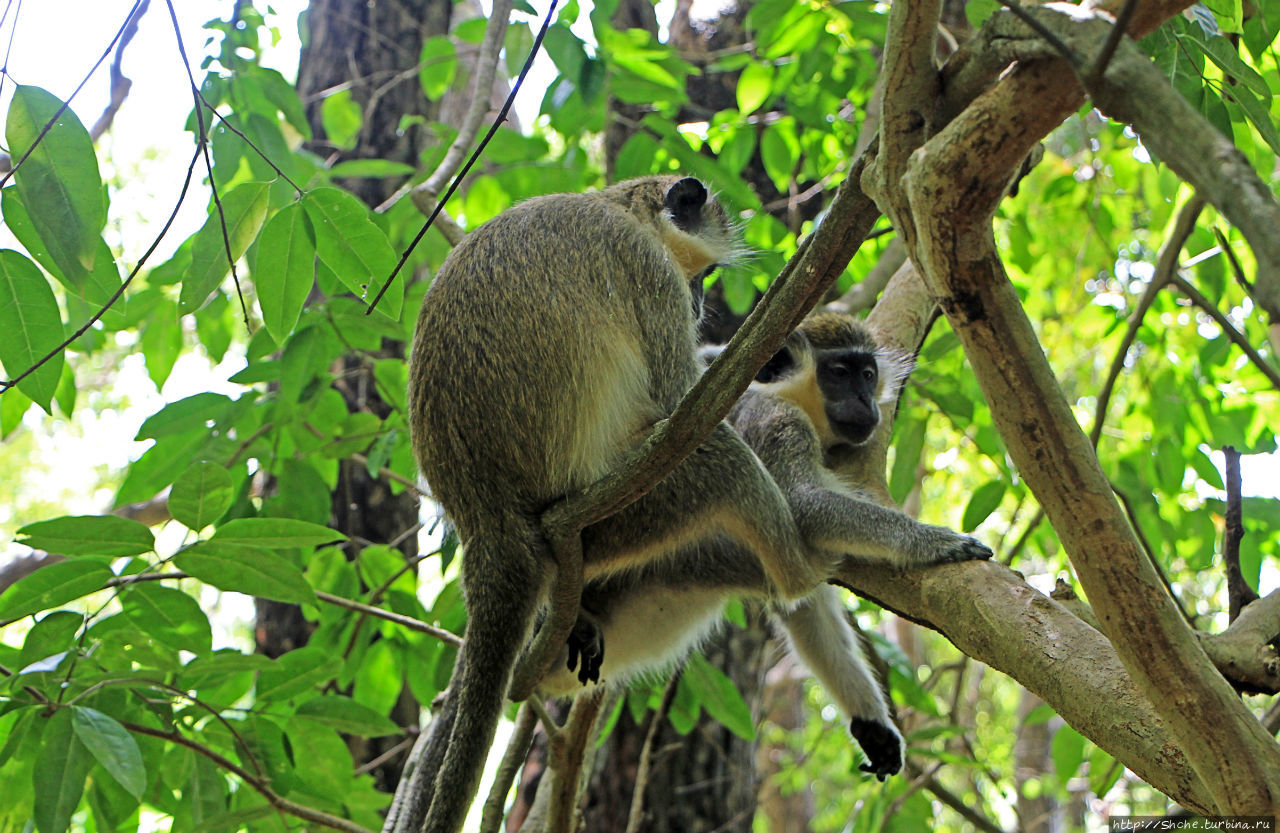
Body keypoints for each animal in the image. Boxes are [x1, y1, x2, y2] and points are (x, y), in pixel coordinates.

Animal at [404, 176, 834, 833]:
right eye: (697, 277)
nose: (698, 305)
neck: (617, 204)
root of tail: (485, 518)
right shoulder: (647, 269)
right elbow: (684, 403)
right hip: (624, 505)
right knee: (715, 455)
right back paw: (801, 572)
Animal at [537, 312, 988, 783]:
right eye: (838, 372)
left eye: (867, 374)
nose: (865, 401)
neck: (784, 393)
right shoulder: (779, 422)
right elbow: (805, 506)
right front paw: (932, 541)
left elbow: (804, 612)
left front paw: (872, 725)